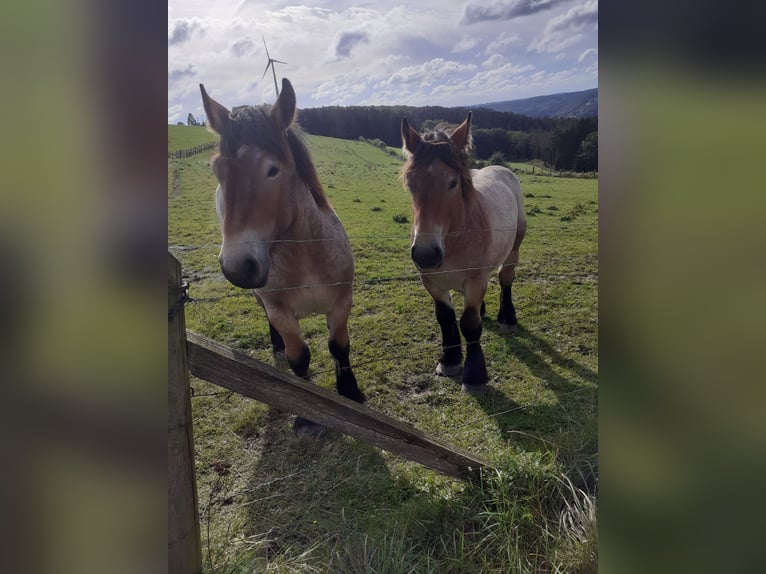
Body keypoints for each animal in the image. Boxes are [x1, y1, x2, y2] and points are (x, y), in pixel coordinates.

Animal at [198, 79, 366, 434]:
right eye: (217, 170)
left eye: (272, 170)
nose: (238, 266)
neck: (307, 258)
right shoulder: (281, 311)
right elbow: (298, 356)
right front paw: (305, 414)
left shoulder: (342, 301)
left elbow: (339, 347)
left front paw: (350, 393)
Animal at [402, 111, 528, 396]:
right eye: (410, 183)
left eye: (453, 182)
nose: (426, 254)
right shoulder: (432, 282)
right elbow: (446, 318)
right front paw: (449, 360)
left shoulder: (474, 280)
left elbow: (470, 324)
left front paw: (474, 375)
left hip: (514, 248)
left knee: (505, 279)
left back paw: (507, 317)